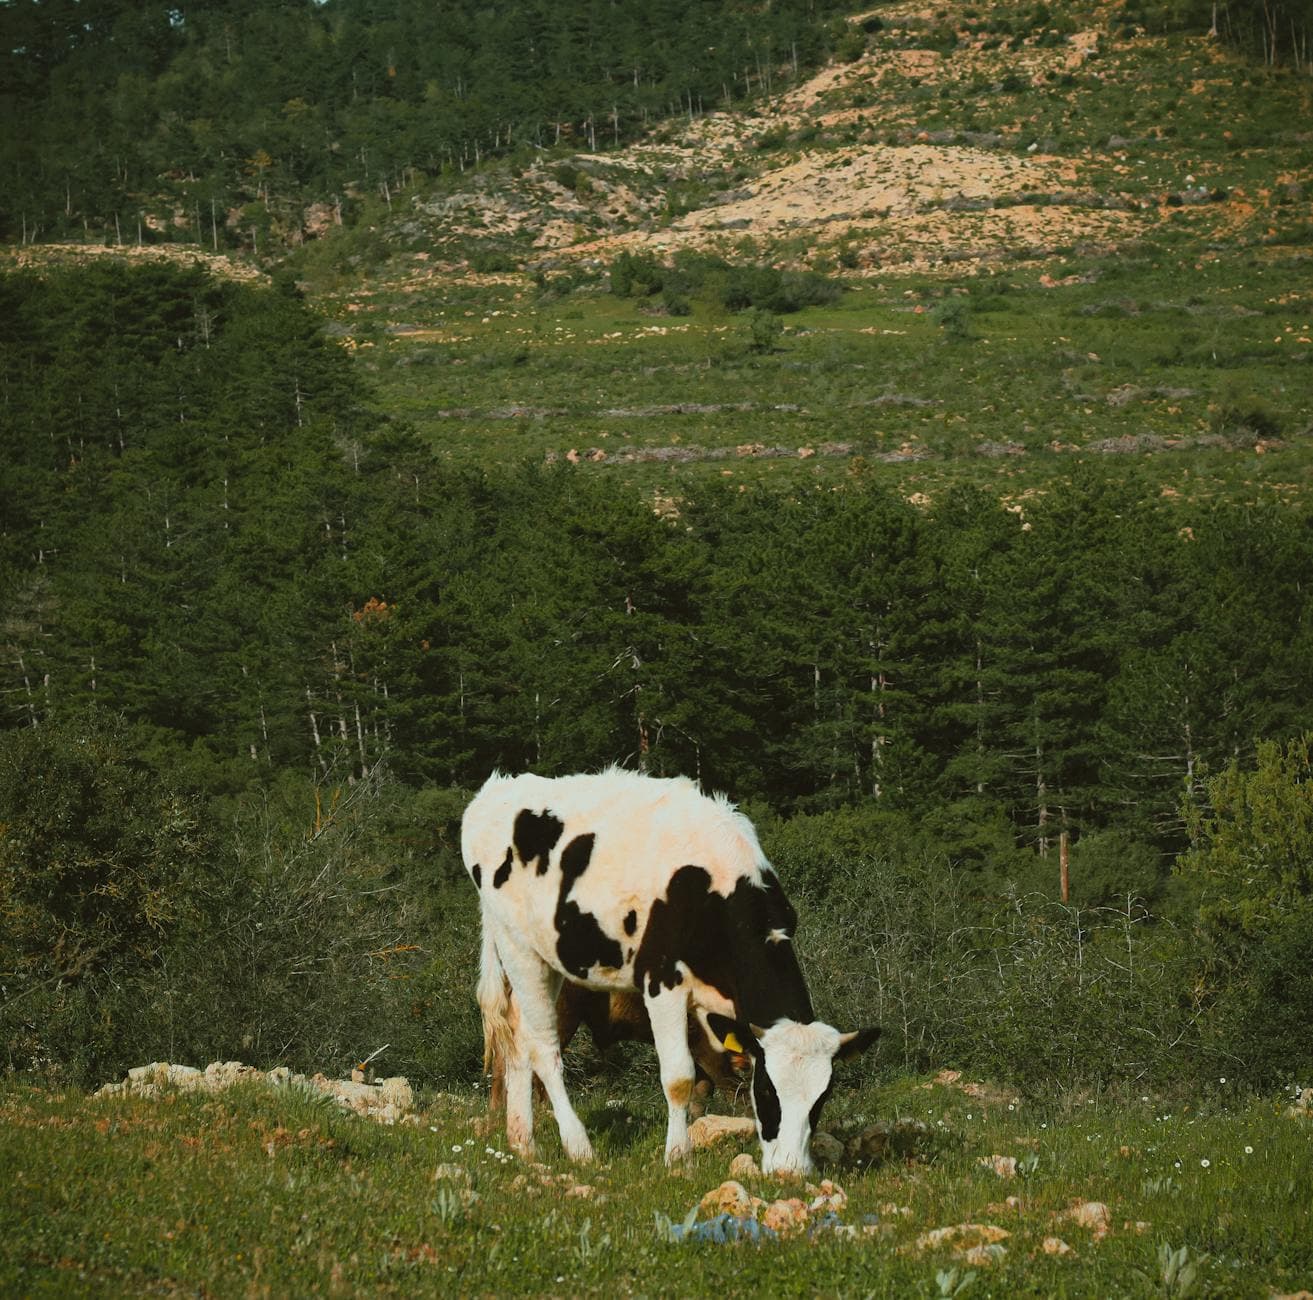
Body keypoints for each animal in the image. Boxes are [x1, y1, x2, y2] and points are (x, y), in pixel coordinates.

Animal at [461, 766, 879, 1175]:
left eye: (822, 1097)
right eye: (767, 1089)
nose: (791, 1172)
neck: (715, 887)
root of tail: (498, 788)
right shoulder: (661, 981)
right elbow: (680, 1077)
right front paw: (678, 1158)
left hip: (546, 959)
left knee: (517, 1036)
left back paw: (523, 1143)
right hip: (519, 948)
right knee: (544, 1049)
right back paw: (578, 1147)